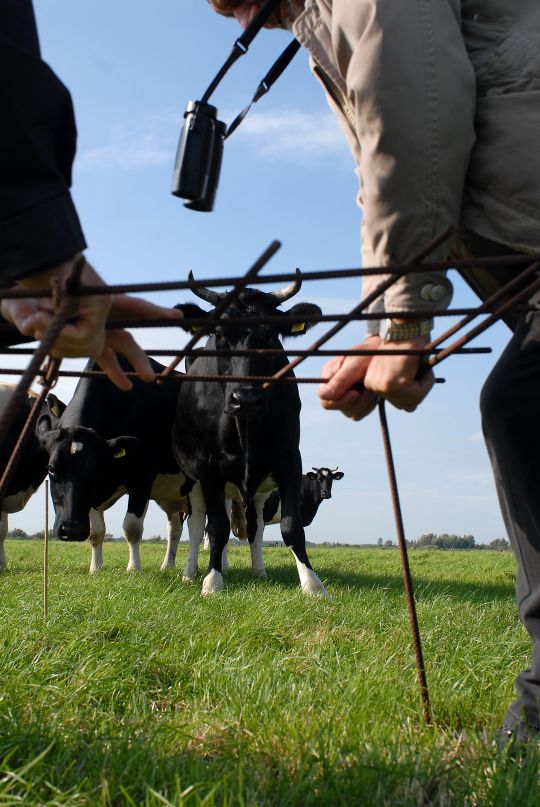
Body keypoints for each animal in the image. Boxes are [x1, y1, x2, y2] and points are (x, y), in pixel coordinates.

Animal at [35, 360, 205, 576]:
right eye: (51, 468)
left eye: (94, 469)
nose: (72, 530)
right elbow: (96, 532)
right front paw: (95, 568)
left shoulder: (142, 476)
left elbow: (132, 527)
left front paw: (134, 569)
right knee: (175, 527)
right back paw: (168, 565)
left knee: (199, 525)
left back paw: (195, 571)